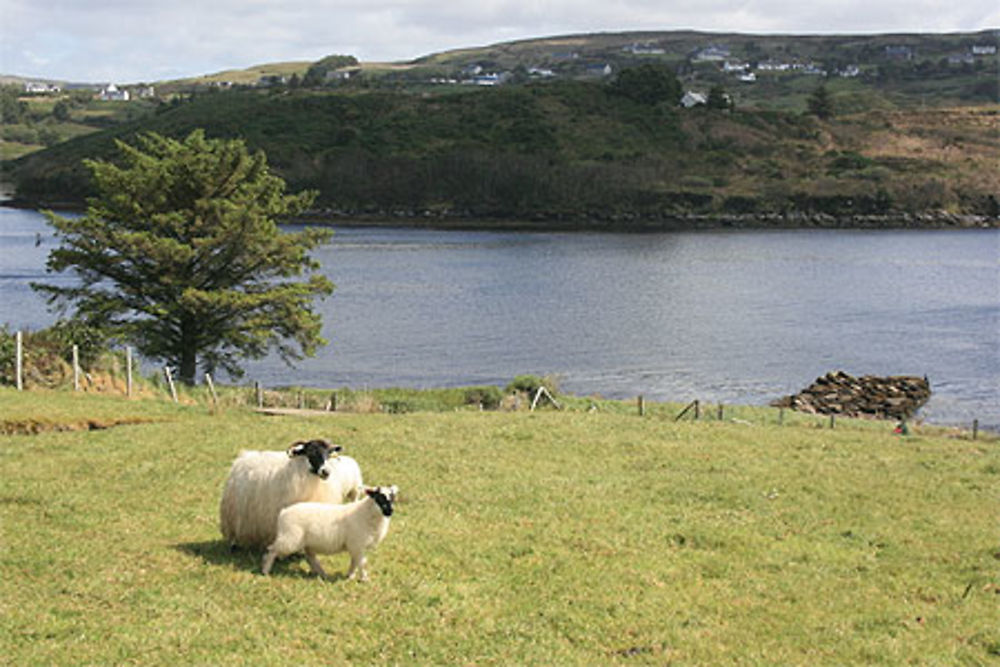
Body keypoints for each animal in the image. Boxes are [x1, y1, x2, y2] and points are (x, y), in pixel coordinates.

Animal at [217, 436, 366, 552]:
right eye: (310, 452)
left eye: (329, 453)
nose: (326, 472)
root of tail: (243, 458)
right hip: (234, 511)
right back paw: (234, 545)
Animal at [262, 482, 398, 580]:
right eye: (379, 497)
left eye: (392, 498)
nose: (390, 511)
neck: (367, 513)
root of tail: (283, 512)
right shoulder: (357, 544)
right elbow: (361, 563)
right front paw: (364, 579)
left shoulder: (355, 546)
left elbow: (354, 562)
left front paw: (350, 576)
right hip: (290, 538)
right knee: (272, 550)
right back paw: (265, 570)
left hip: (304, 542)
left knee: (310, 558)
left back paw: (322, 574)